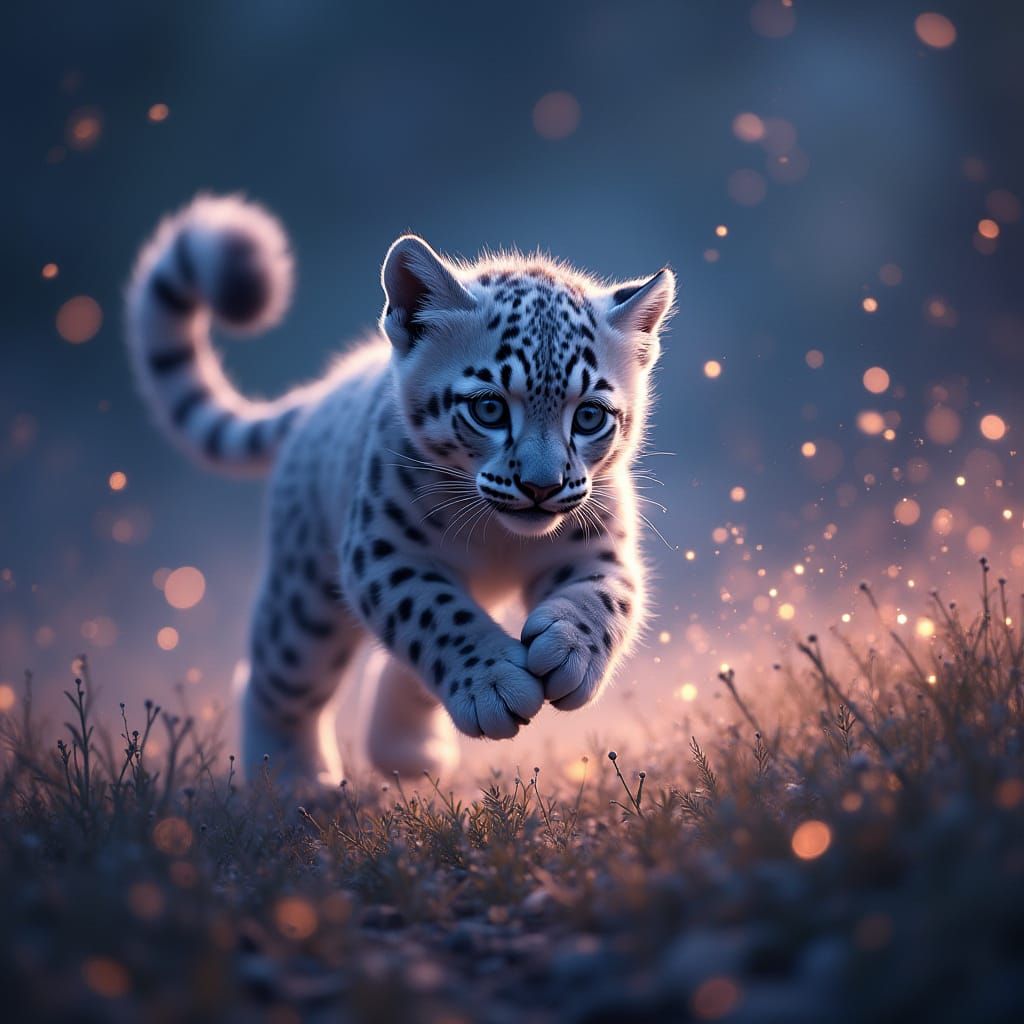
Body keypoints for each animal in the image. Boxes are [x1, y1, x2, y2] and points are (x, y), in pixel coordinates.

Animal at [126, 194, 675, 787]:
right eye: (489, 408)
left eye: (589, 415)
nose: (539, 486)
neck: (499, 538)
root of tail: (322, 394)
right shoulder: (383, 549)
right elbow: (433, 614)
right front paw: (494, 684)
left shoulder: (598, 543)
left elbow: (605, 596)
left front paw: (570, 651)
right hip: (304, 595)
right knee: (277, 678)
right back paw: (292, 783)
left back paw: (407, 752)